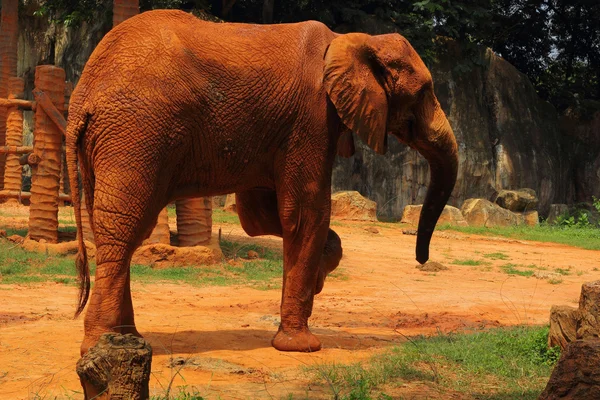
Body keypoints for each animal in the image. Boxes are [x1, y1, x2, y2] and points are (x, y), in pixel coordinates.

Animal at [65, 10, 458, 356]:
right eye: (424, 92)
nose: (421, 259)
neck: (352, 40)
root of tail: (82, 95)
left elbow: (258, 216)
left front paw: (320, 271)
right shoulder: (312, 116)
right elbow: (305, 212)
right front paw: (302, 346)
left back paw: (127, 339)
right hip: (135, 132)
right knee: (124, 225)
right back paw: (101, 344)